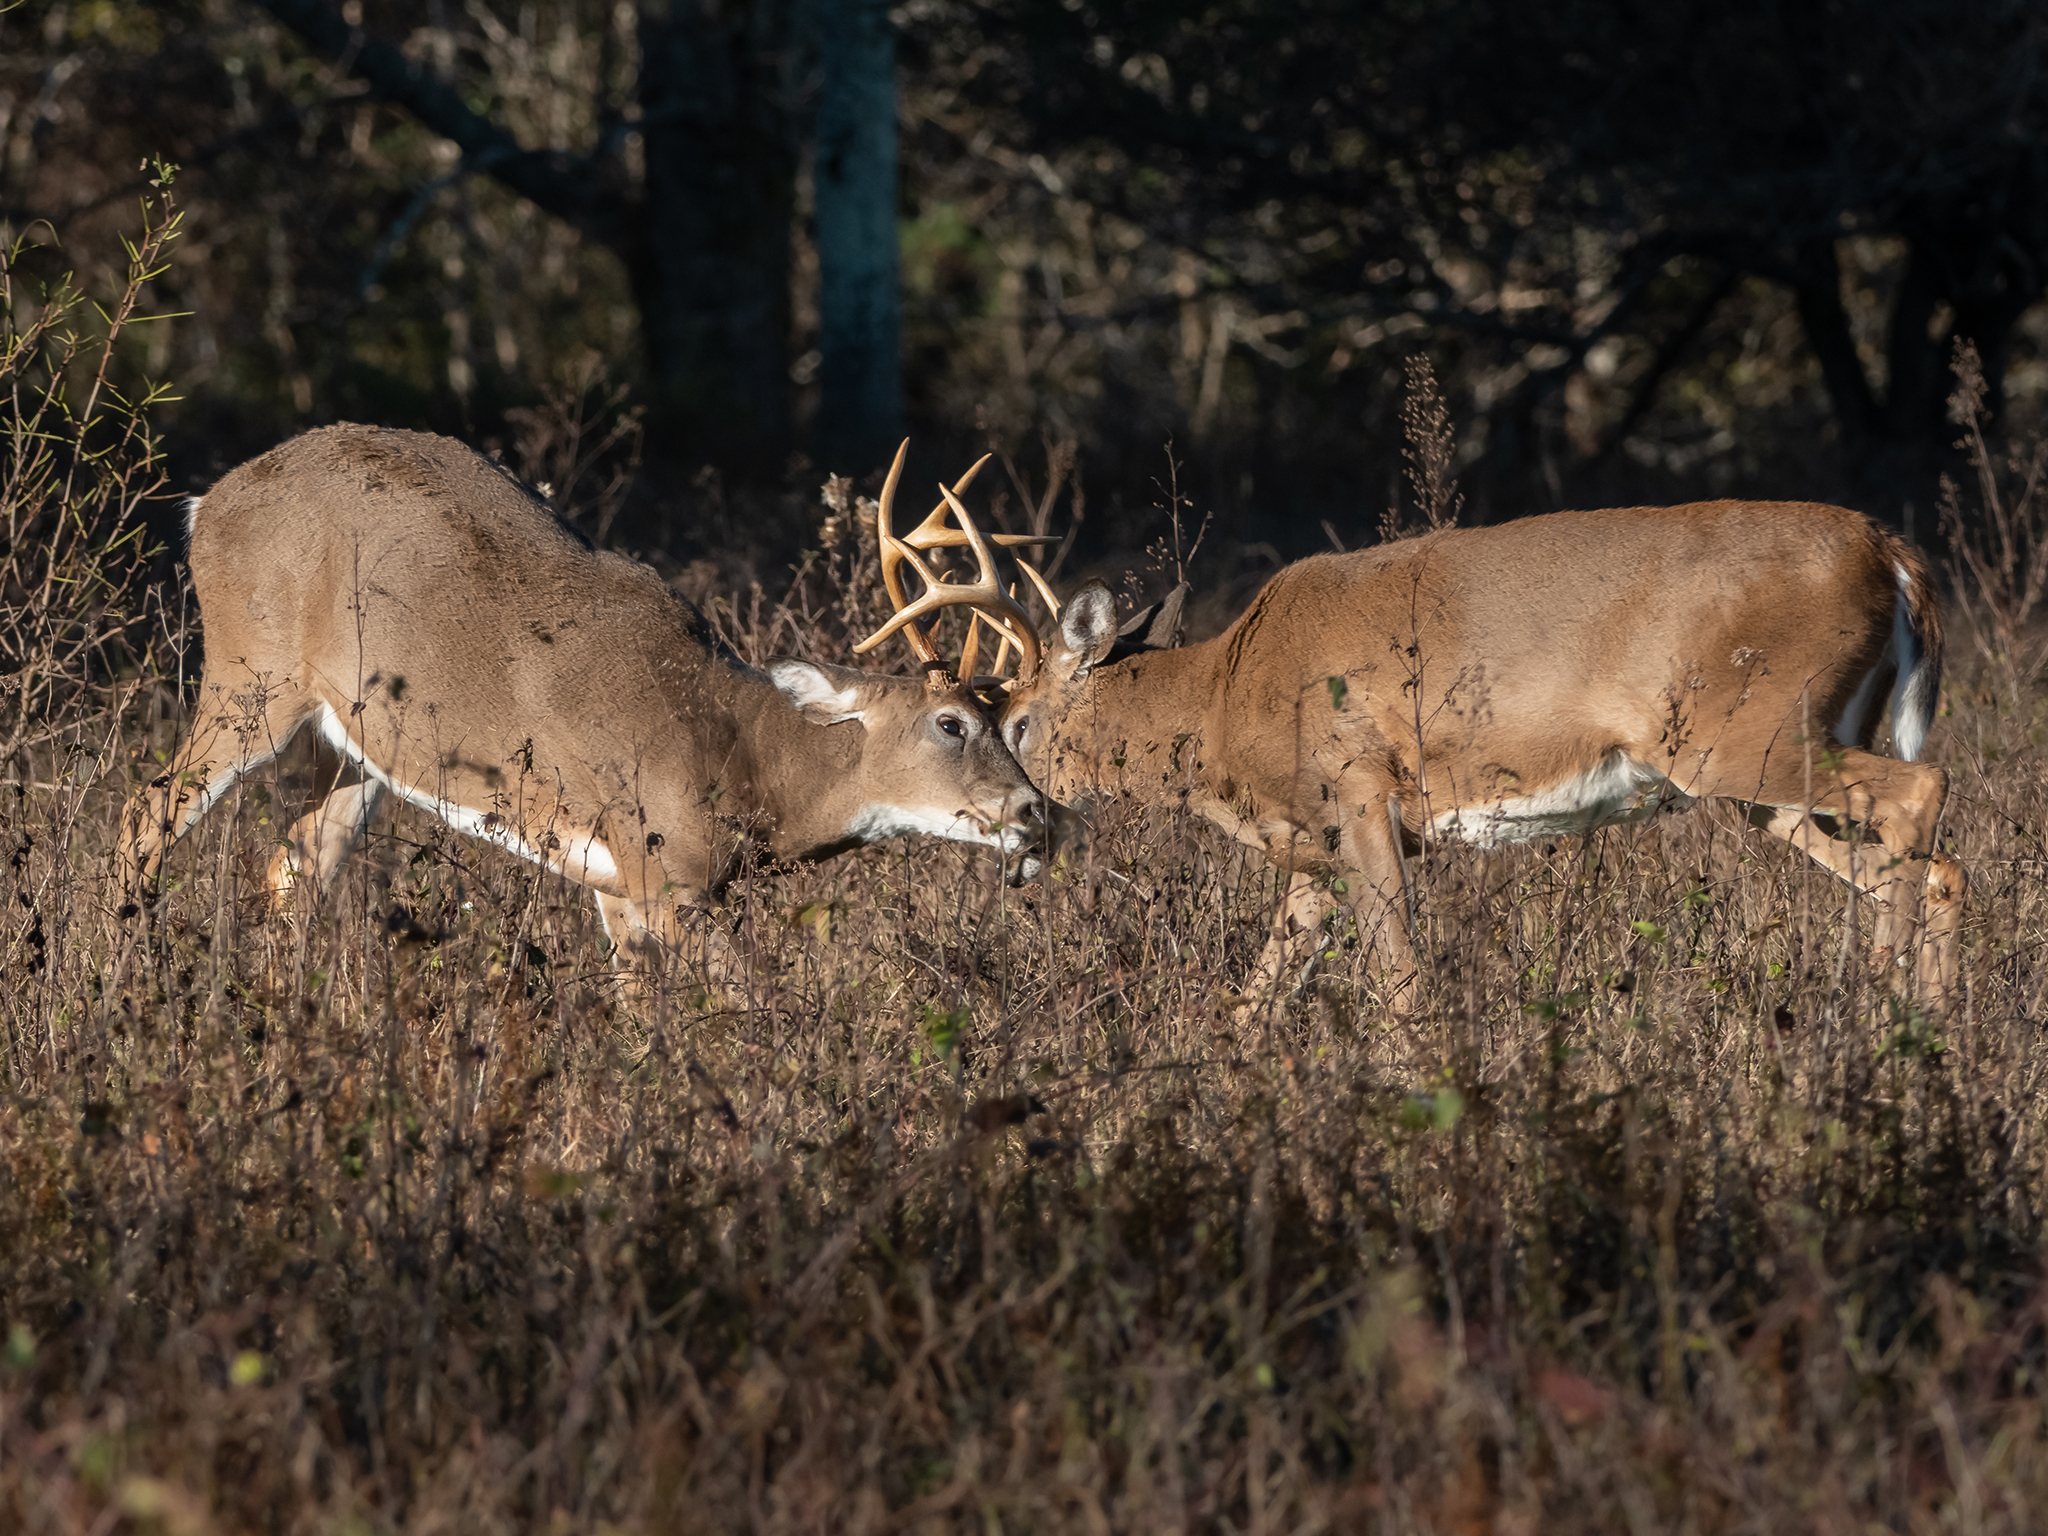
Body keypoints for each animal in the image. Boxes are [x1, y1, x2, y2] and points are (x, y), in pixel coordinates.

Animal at [117, 425, 1058, 988]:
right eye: (951, 724)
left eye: (1013, 725)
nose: (1036, 815)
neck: (740, 760)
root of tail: (206, 505)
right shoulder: (666, 872)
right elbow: (739, 997)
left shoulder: (617, 880)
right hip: (252, 674)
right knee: (145, 811)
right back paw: (126, 971)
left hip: (354, 747)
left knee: (295, 867)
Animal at [903, 493, 1967, 1014]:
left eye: (1017, 724)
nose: (1022, 821)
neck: (1220, 703)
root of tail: (1893, 551)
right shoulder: (1314, 853)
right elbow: (1257, 998)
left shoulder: (1360, 789)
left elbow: (1401, 976)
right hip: (1769, 768)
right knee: (1921, 864)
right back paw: (1925, 1035)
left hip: (1746, 734)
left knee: (1924, 790)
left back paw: (1888, 1021)